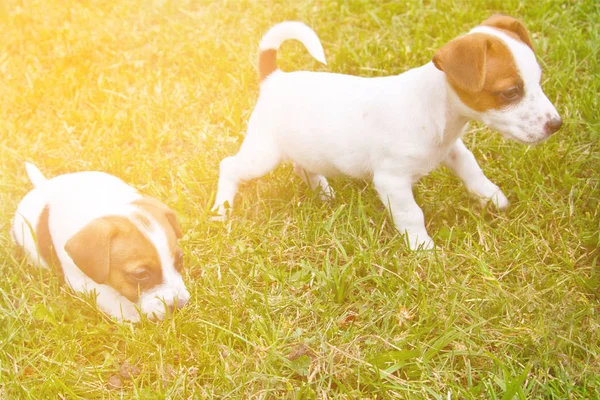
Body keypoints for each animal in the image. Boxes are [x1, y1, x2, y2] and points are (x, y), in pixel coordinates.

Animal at [12, 162, 191, 322]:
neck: (106, 207)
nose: (181, 306)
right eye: (140, 274)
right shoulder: (80, 282)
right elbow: (110, 298)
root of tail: (43, 186)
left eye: (180, 260)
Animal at [212, 16, 564, 250]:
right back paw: (221, 211)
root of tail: (274, 78)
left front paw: (492, 198)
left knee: (304, 167)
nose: (556, 124)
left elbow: (472, 169)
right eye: (510, 92)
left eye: (538, 80)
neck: (435, 107)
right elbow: (412, 214)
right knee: (229, 166)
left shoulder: (452, 149)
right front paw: (423, 248)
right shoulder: (392, 181)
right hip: (263, 155)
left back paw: (323, 193)